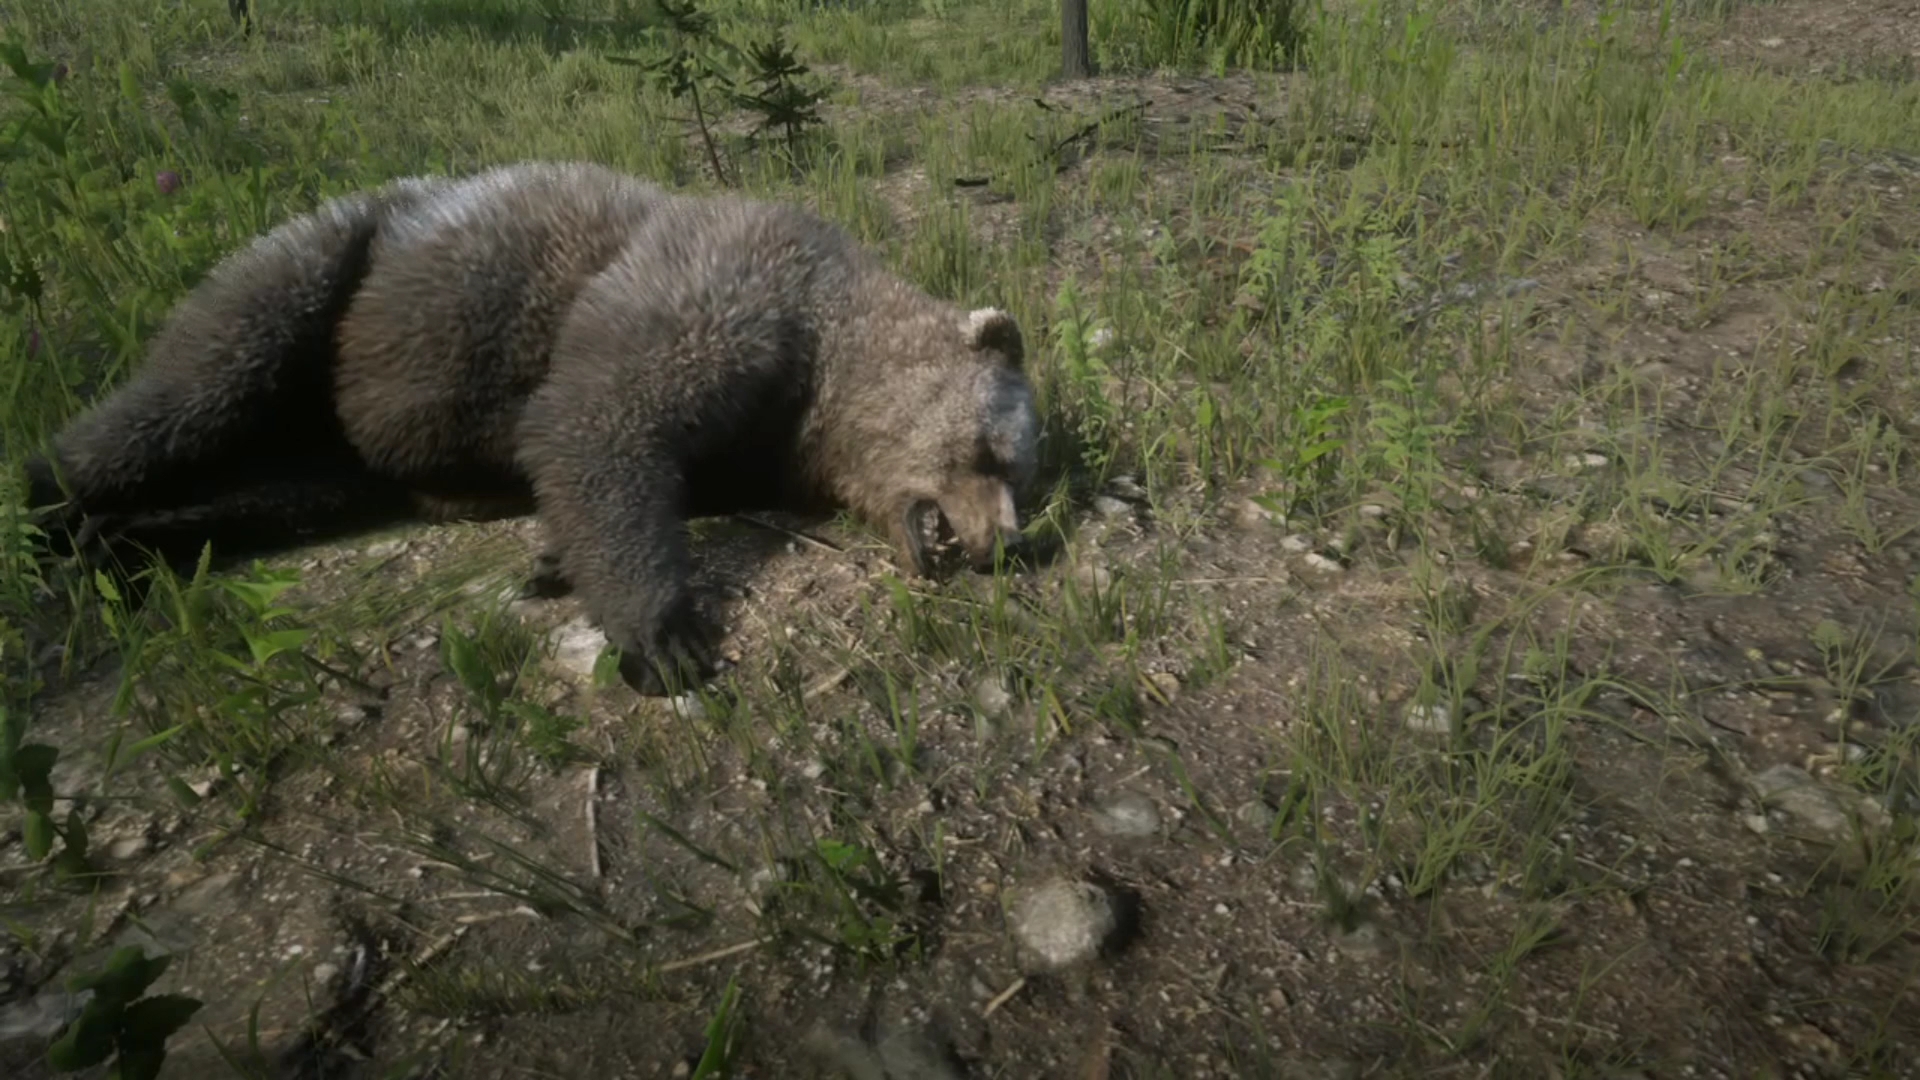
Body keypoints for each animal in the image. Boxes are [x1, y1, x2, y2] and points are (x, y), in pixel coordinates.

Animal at [22, 161, 1044, 699]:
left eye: (1028, 474)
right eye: (994, 450)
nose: (1004, 542)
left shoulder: (764, 437)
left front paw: (555, 559)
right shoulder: (716, 292)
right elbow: (600, 422)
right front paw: (663, 631)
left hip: (330, 449)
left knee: (278, 491)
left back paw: (128, 541)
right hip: (329, 279)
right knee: (189, 388)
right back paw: (51, 505)